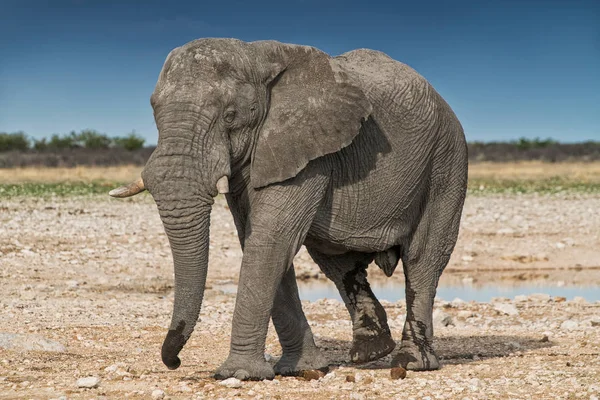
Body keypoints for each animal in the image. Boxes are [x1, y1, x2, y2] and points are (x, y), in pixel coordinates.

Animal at [111, 38, 468, 382]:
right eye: (154, 112)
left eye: (230, 115)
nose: (174, 361)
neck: (255, 56)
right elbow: (259, 241)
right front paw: (301, 369)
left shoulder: (308, 151)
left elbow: (271, 240)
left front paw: (238, 374)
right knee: (338, 263)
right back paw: (371, 353)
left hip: (446, 161)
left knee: (422, 260)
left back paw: (410, 362)